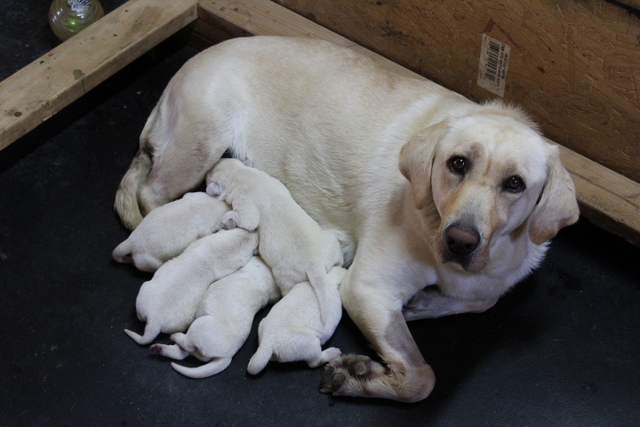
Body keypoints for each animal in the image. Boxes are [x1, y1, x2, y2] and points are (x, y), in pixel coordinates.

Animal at [151, 256, 282, 380]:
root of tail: (226, 356)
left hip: (199, 326)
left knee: (186, 344)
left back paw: (174, 337)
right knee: (182, 353)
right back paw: (159, 349)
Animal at [205, 159, 344, 326]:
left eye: (209, 174)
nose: (207, 171)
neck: (241, 174)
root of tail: (315, 265)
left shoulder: (244, 203)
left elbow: (248, 220)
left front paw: (224, 221)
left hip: (285, 276)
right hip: (331, 243)